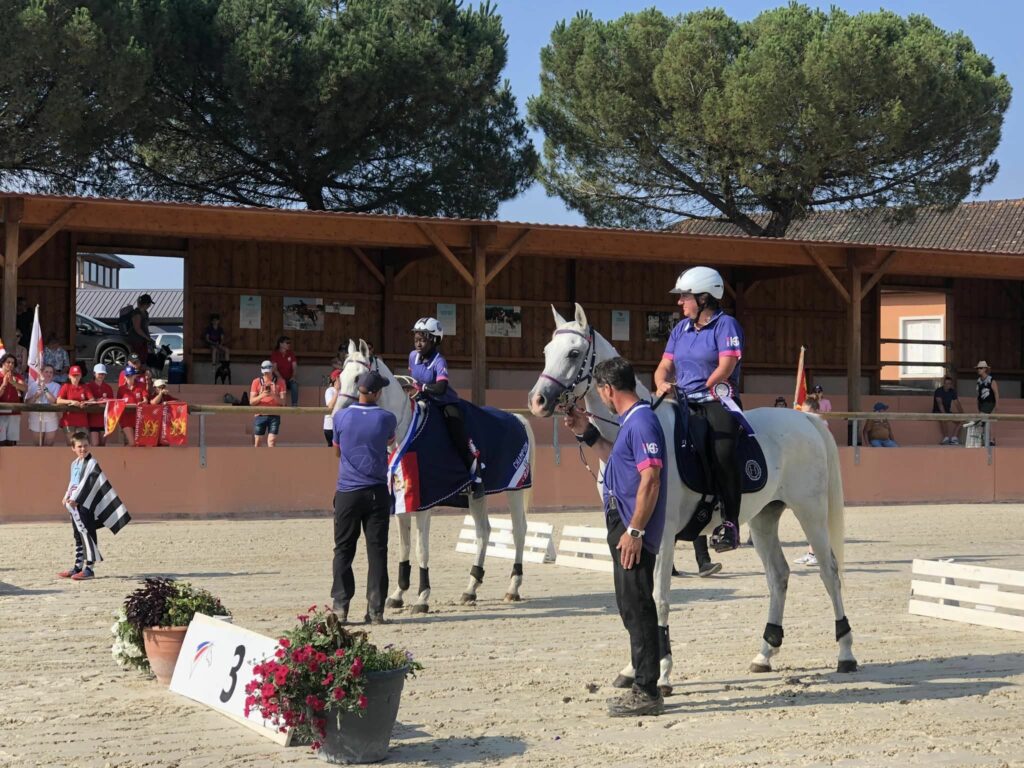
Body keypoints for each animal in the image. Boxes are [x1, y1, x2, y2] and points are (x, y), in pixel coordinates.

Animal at [337, 342, 536, 614]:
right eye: (340, 376)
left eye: (358, 377)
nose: (337, 414)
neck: (405, 430)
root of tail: (518, 418)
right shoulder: (401, 502)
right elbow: (404, 548)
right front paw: (398, 594)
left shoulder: (423, 504)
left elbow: (421, 550)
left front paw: (422, 598)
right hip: (477, 496)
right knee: (483, 531)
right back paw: (470, 589)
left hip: (515, 489)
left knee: (518, 531)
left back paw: (513, 587)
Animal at [528, 307, 856, 696]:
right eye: (546, 350)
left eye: (574, 353)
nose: (538, 401)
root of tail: (805, 418)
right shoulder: (626, 536)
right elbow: (635, 599)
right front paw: (633, 669)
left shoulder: (660, 536)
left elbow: (658, 598)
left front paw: (663, 674)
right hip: (763, 519)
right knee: (778, 575)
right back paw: (765, 653)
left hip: (811, 512)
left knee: (829, 572)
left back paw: (845, 653)